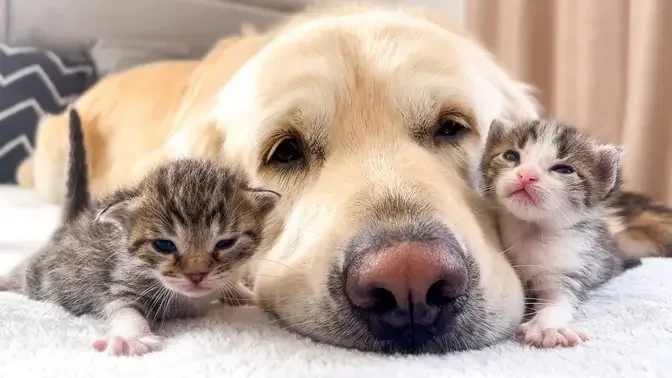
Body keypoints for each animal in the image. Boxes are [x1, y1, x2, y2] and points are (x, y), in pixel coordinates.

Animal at [0, 108, 278, 354]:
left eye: (225, 243)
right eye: (164, 245)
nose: (196, 275)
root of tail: (72, 222)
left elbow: (229, 281)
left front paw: (247, 295)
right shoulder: (122, 281)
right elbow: (124, 308)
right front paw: (129, 337)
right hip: (39, 275)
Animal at [480, 119, 636, 348]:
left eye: (563, 169)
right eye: (511, 156)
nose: (526, 175)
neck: (530, 229)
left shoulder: (569, 264)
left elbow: (559, 299)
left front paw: (547, 327)